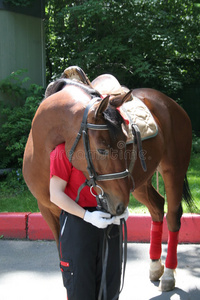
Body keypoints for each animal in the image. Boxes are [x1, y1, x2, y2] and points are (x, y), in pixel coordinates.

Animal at [22, 67, 192, 292]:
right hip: (139, 184)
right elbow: (64, 260)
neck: (42, 152)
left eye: (125, 141)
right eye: (102, 149)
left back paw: (169, 274)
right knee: (157, 207)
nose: (119, 206)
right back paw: (156, 266)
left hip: (173, 171)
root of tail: (170, 104)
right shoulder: (48, 210)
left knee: (173, 216)